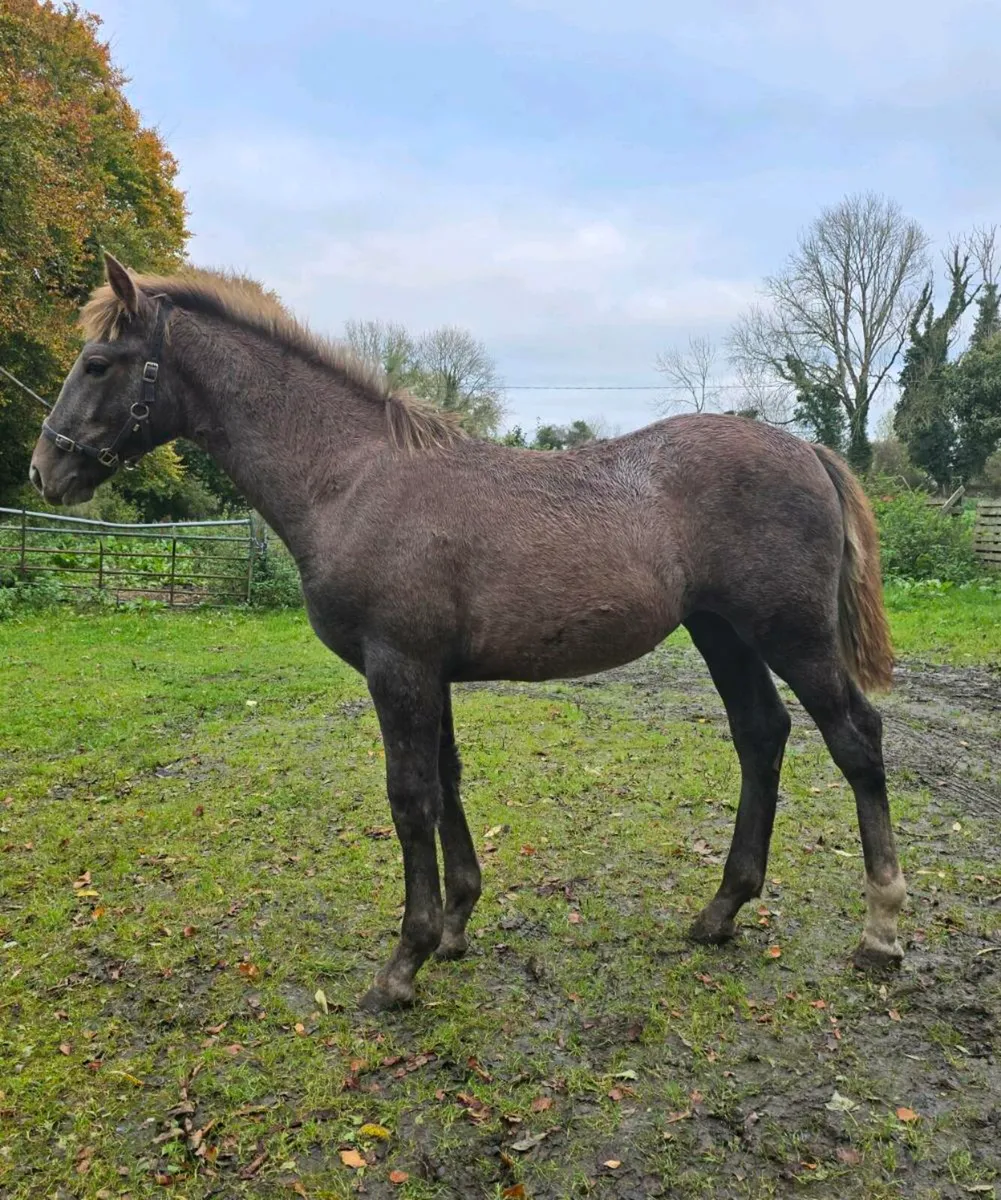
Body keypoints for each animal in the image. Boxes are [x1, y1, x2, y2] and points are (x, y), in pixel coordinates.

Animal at [29, 254, 906, 1012]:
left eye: (99, 362)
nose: (46, 470)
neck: (352, 477)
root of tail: (805, 449)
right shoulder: (429, 672)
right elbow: (446, 782)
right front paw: (453, 928)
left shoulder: (398, 668)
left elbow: (409, 797)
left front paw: (401, 965)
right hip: (721, 632)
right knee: (760, 734)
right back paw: (720, 910)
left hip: (789, 636)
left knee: (855, 738)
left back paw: (880, 932)